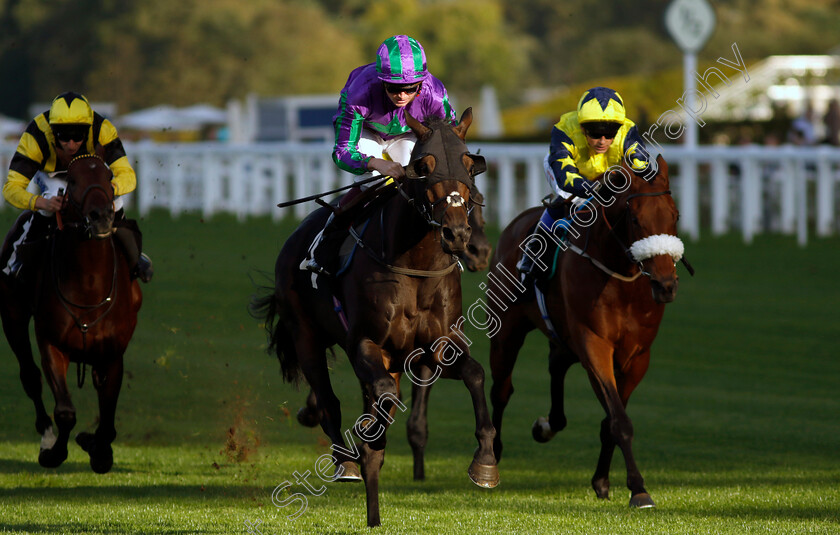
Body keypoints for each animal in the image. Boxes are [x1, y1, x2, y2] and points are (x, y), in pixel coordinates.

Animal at [0, 154, 142, 474]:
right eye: (72, 181)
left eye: (108, 176)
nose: (101, 217)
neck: (89, 283)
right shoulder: (52, 344)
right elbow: (65, 411)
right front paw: (53, 453)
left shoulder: (112, 353)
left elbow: (108, 421)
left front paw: (97, 449)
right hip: (12, 316)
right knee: (30, 376)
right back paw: (46, 434)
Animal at [488, 156, 684, 510]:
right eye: (636, 219)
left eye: (674, 215)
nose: (666, 286)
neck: (621, 279)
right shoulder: (594, 344)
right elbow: (619, 420)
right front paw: (638, 490)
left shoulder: (637, 356)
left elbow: (611, 421)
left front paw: (603, 481)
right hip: (506, 329)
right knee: (502, 390)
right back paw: (491, 459)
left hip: (563, 335)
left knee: (556, 364)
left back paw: (547, 426)